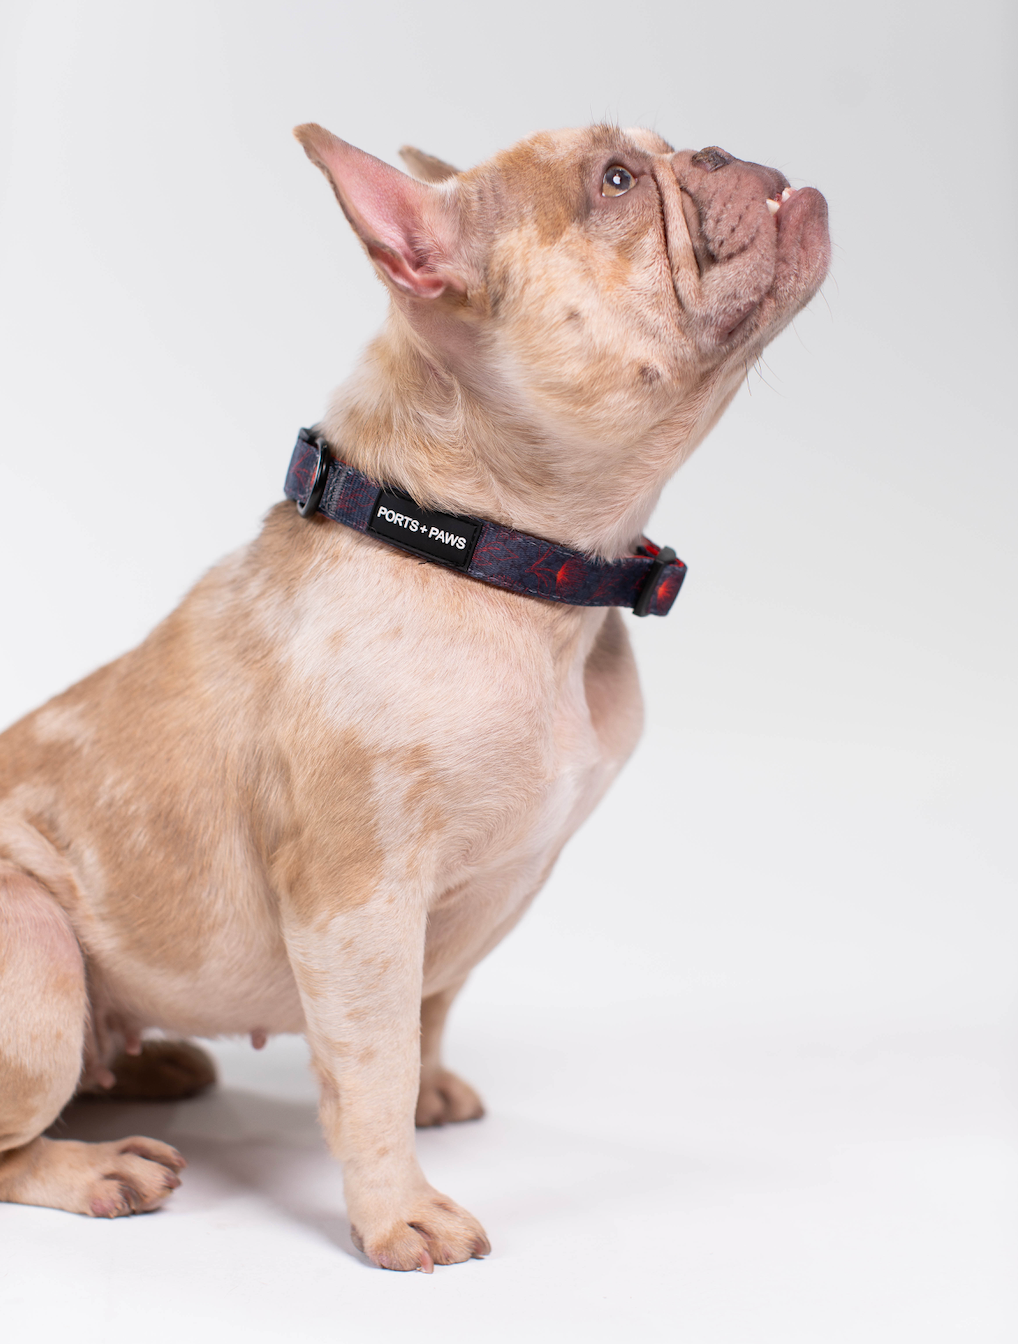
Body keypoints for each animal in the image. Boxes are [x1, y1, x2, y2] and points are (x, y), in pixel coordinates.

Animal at [0, 123, 829, 1270]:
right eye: (615, 182)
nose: (717, 150)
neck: (500, 564)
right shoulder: (359, 899)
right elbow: (372, 1059)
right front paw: (398, 1210)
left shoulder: (466, 903)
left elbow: (430, 1007)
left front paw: (432, 1095)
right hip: (34, 955)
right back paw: (98, 1166)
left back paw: (150, 1064)